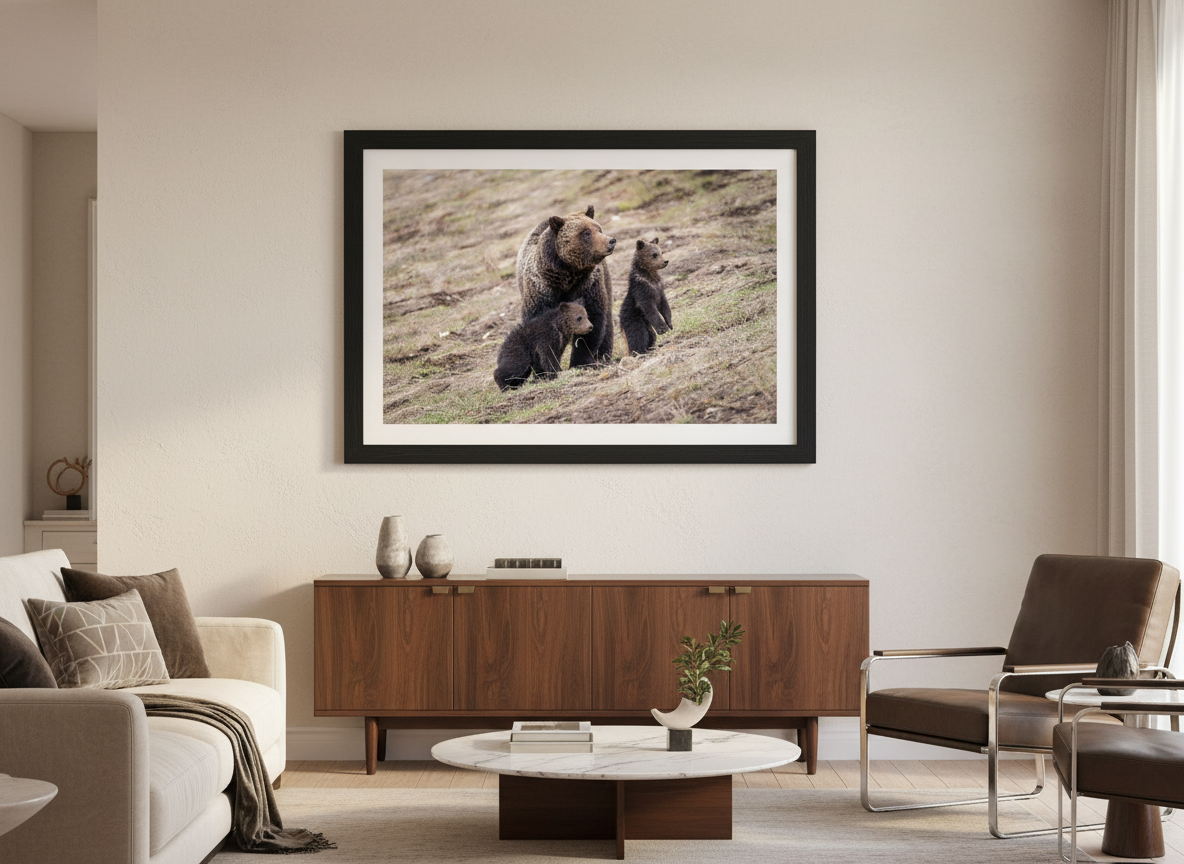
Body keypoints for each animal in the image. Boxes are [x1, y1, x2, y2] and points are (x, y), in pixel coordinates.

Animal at [516, 205, 616, 368]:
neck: (565, 276)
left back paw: (603, 357)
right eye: (586, 232)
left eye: (598, 229)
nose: (611, 241)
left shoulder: (587, 286)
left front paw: (580, 361)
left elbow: (592, 320)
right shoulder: (541, 290)